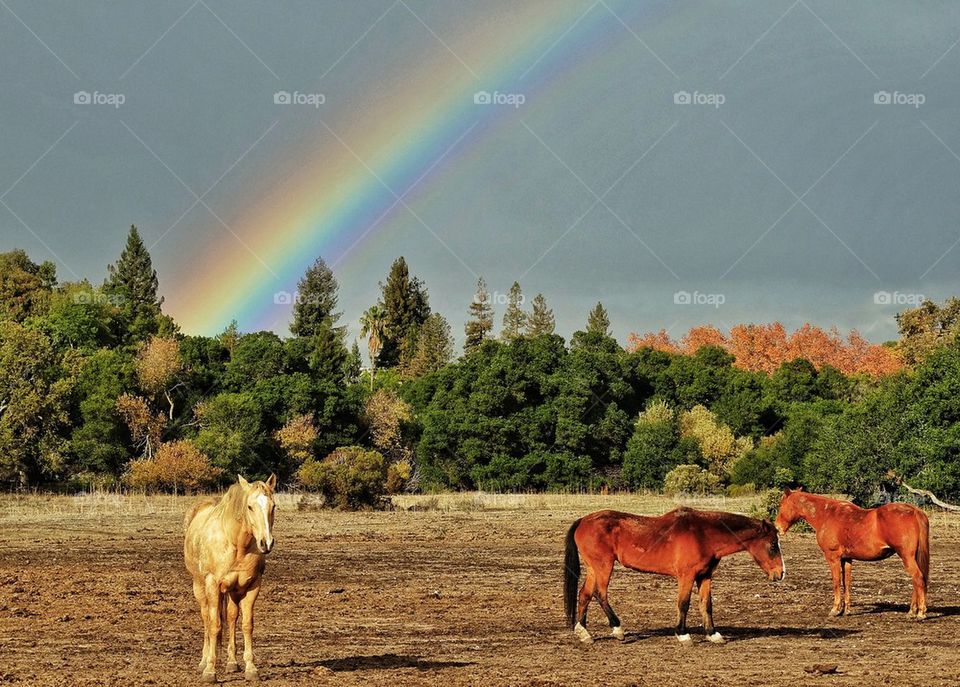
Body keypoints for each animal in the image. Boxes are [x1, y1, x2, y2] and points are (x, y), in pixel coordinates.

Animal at [186, 472, 278, 684]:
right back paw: (203, 661)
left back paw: (231, 663)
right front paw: (210, 671)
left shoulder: (252, 586)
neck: (236, 543)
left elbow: (246, 625)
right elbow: (214, 625)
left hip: (234, 592)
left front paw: (251, 668)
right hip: (200, 587)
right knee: (206, 618)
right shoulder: (212, 584)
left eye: (273, 506)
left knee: (232, 617)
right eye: (250, 507)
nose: (266, 543)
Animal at [568, 506, 784, 644]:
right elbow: (684, 604)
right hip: (604, 566)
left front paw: (712, 634)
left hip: (594, 568)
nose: (780, 573)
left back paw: (584, 633)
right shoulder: (686, 576)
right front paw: (683, 634)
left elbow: (707, 604)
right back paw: (617, 629)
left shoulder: (705, 576)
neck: (704, 535)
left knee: (585, 594)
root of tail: (582, 521)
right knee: (600, 594)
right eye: (773, 545)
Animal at [776, 486, 928, 620]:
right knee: (917, 580)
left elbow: (836, 582)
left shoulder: (833, 558)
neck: (827, 515)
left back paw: (920, 612)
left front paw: (835, 609)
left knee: (918, 578)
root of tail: (915, 511)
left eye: (781, 504)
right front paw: (846, 610)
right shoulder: (847, 559)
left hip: (906, 557)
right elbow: (846, 582)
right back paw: (912, 611)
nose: (777, 528)